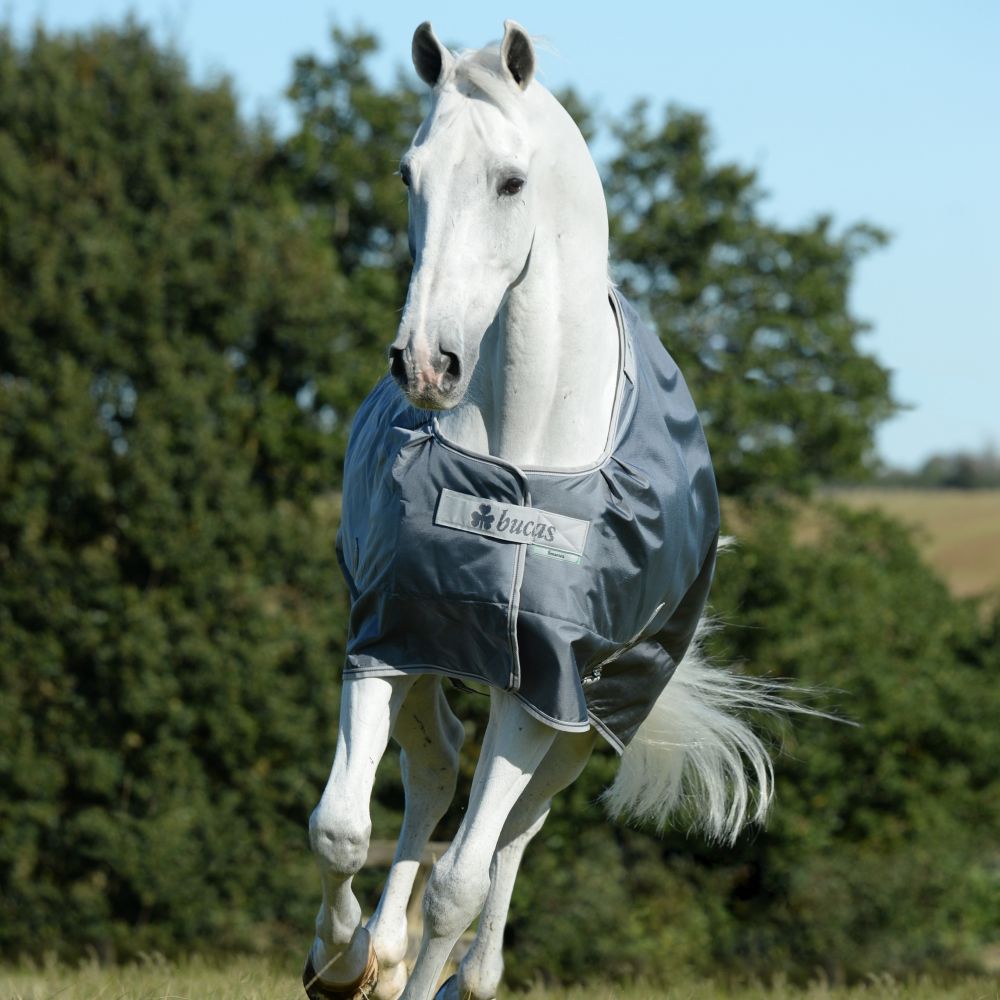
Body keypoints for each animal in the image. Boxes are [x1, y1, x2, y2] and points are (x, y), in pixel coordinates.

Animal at [303, 21, 787, 1000]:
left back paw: (466, 974)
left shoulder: (545, 690)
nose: (426, 364)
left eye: (510, 182)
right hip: (438, 659)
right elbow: (339, 824)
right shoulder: (387, 636)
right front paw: (338, 962)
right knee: (436, 769)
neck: (517, 469)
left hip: (578, 721)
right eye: (408, 173)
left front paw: (417, 969)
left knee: (513, 831)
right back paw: (379, 949)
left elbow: (461, 884)